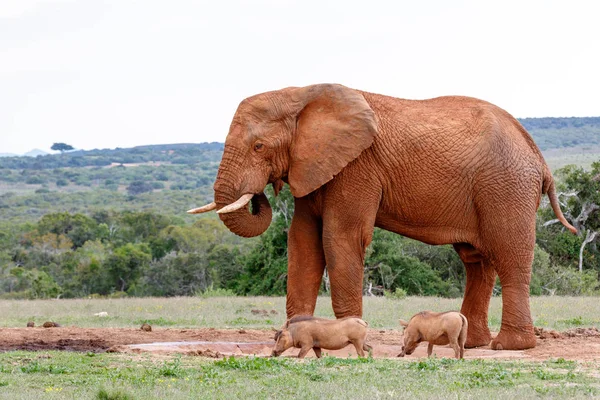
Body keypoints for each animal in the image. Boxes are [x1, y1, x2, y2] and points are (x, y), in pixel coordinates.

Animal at [190, 84, 580, 350]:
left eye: (259, 147)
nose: (260, 195)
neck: (301, 94)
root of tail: (540, 157)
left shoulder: (357, 167)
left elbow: (340, 238)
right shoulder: (316, 165)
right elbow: (302, 242)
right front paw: (292, 334)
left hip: (506, 187)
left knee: (509, 257)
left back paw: (508, 346)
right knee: (477, 262)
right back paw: (473, 344)